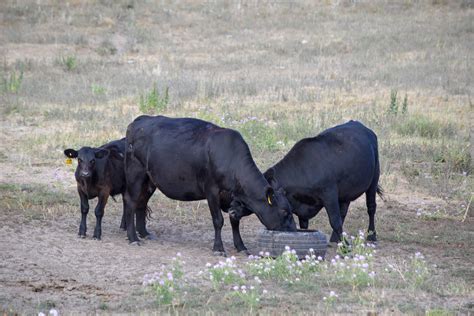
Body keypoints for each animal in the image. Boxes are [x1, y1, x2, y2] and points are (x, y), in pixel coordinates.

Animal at [122, 115, 296, 254]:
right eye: (284, 211)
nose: (294, 231)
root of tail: (139, 120)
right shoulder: (211, 191)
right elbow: (218, 221)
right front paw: (218, 248)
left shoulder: (231, 197)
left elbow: (235, 221)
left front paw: (240, 246)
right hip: (135, 174)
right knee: (130, 201)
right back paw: (133, 238)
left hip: (150, 180)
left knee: (142, 203)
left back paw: (144, 233)